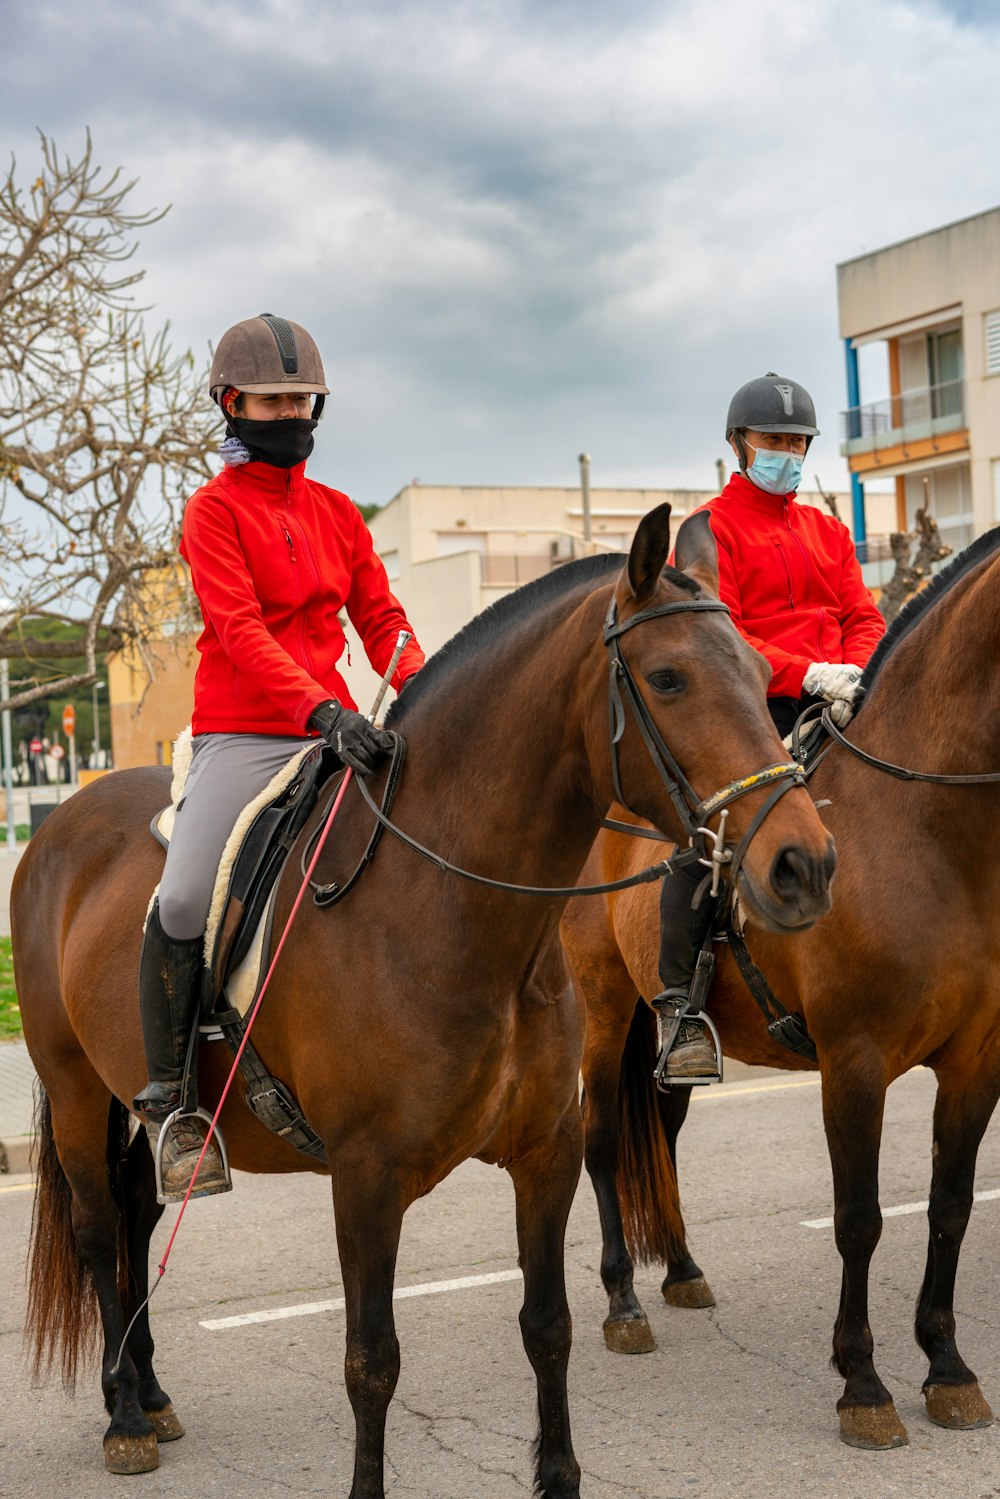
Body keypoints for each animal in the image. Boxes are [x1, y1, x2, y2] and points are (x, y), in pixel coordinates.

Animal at [13, 506, 839, 1499]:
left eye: (759, 671)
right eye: (669, 676)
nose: (804, 864)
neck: (447, 909)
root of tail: (59, 822)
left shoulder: (546, 1154)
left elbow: (548, 1327)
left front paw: (558, 1472)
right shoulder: (366, 1179)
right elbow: (372, 1360)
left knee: (139, 1215)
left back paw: (152, 1391)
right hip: (74, 1092)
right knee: (101, 1229)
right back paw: (125, 1416)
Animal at [563, 524, 1000, 1451]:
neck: (934, 835)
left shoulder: (978, 1061)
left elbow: (949, 1206)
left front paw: (948, 1368)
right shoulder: (855, 1062)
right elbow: (860, 1218)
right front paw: (863, 1382)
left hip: (670, 1036)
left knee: (666, 1132)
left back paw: (681, 1268)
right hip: (603, 1008)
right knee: (604, 1141)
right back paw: (622, 1303)